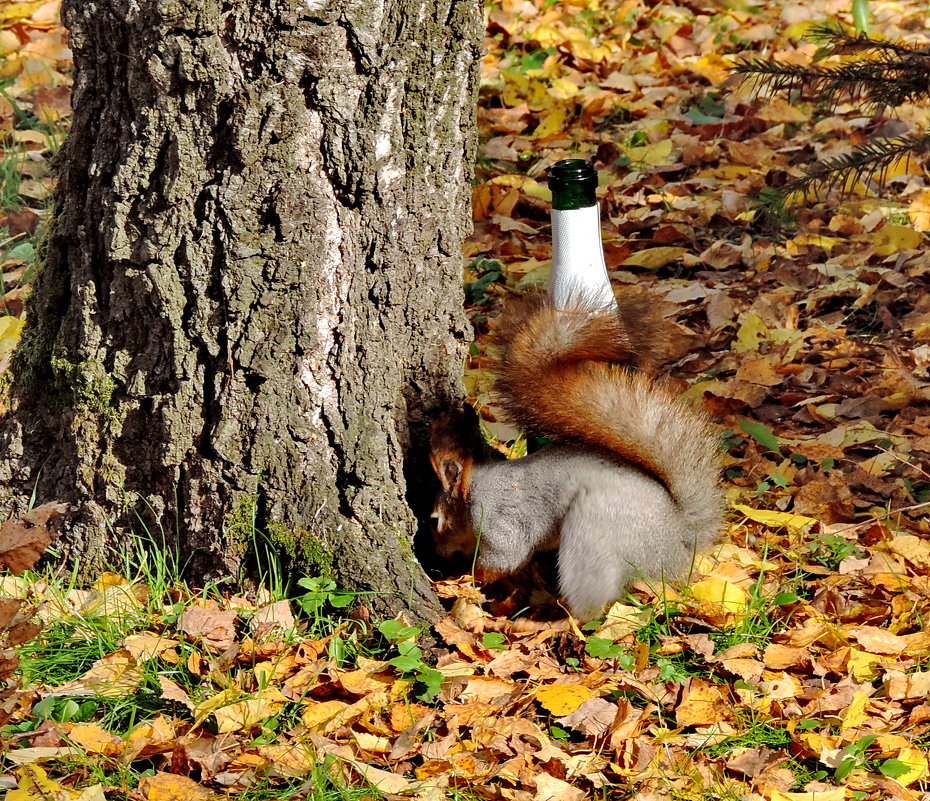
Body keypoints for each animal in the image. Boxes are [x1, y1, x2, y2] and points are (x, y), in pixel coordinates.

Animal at [430, 290, 724, 620]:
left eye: (435, 521)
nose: (438, 554)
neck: (478, 487)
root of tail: (682, 544)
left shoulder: (499, 519)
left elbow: (504, 559)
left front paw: (462, 580)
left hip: (594, 535)